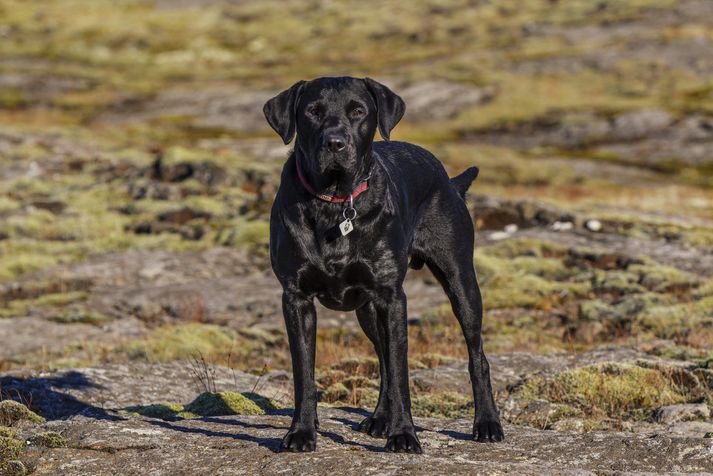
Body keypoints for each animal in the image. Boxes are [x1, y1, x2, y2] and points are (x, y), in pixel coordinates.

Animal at [262, 77, 500, 454]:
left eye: (358, 111)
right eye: (313, 111)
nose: (335, 142)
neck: (336, 202)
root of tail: (449, 179)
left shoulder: (392, 297)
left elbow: (402, 373)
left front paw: (403, 435)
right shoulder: (296, 298)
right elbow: (304, 373)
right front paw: (301, 432)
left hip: (460, 282)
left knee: (476, 355)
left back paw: (487, 423)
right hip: (367, 311)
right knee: (385, 362)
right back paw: (379, 418)